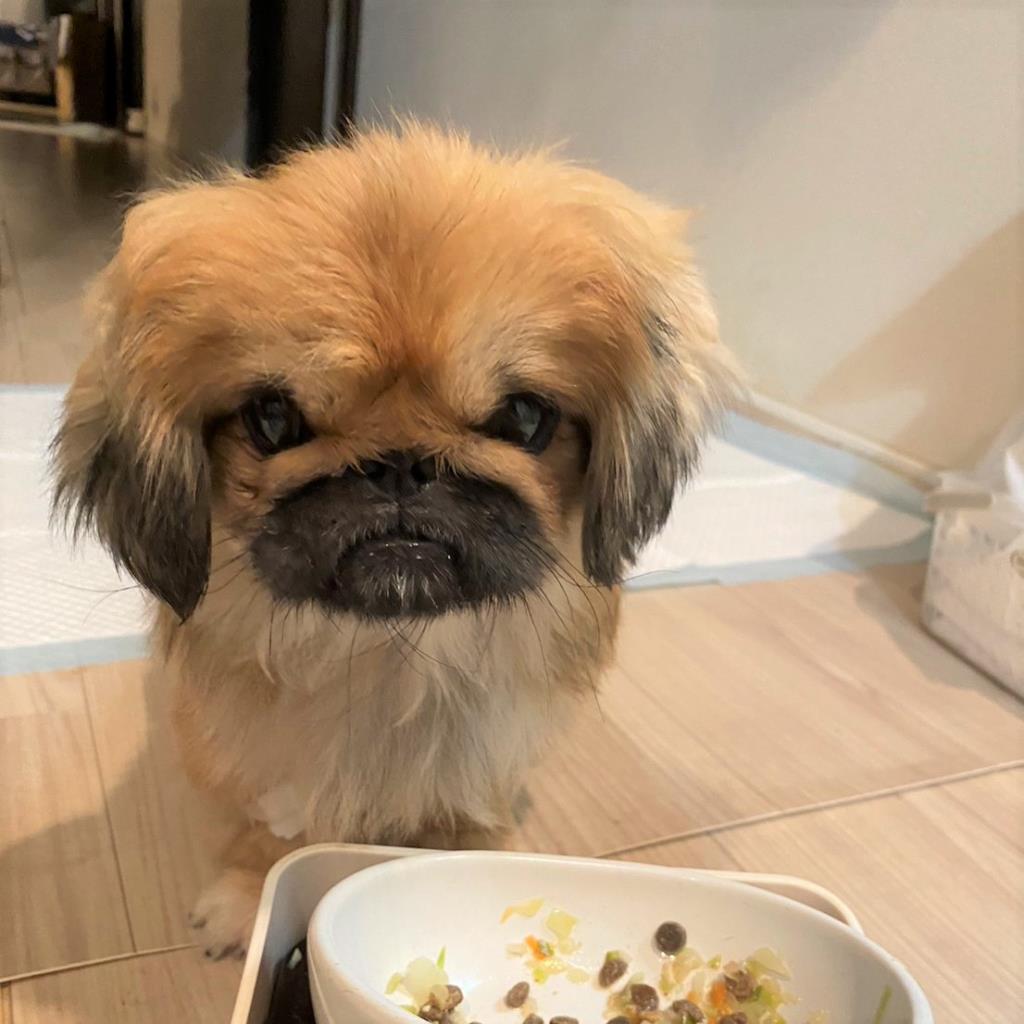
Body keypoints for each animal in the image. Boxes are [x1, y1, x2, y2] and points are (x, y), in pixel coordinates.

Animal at [53, 124, 736, 958]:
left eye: (524, 418)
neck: (390, 659)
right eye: (273, 419)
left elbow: (463, 821)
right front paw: (249, 895)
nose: (401, 465)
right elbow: (270, 832)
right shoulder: (256, 756)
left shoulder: (484, 760)